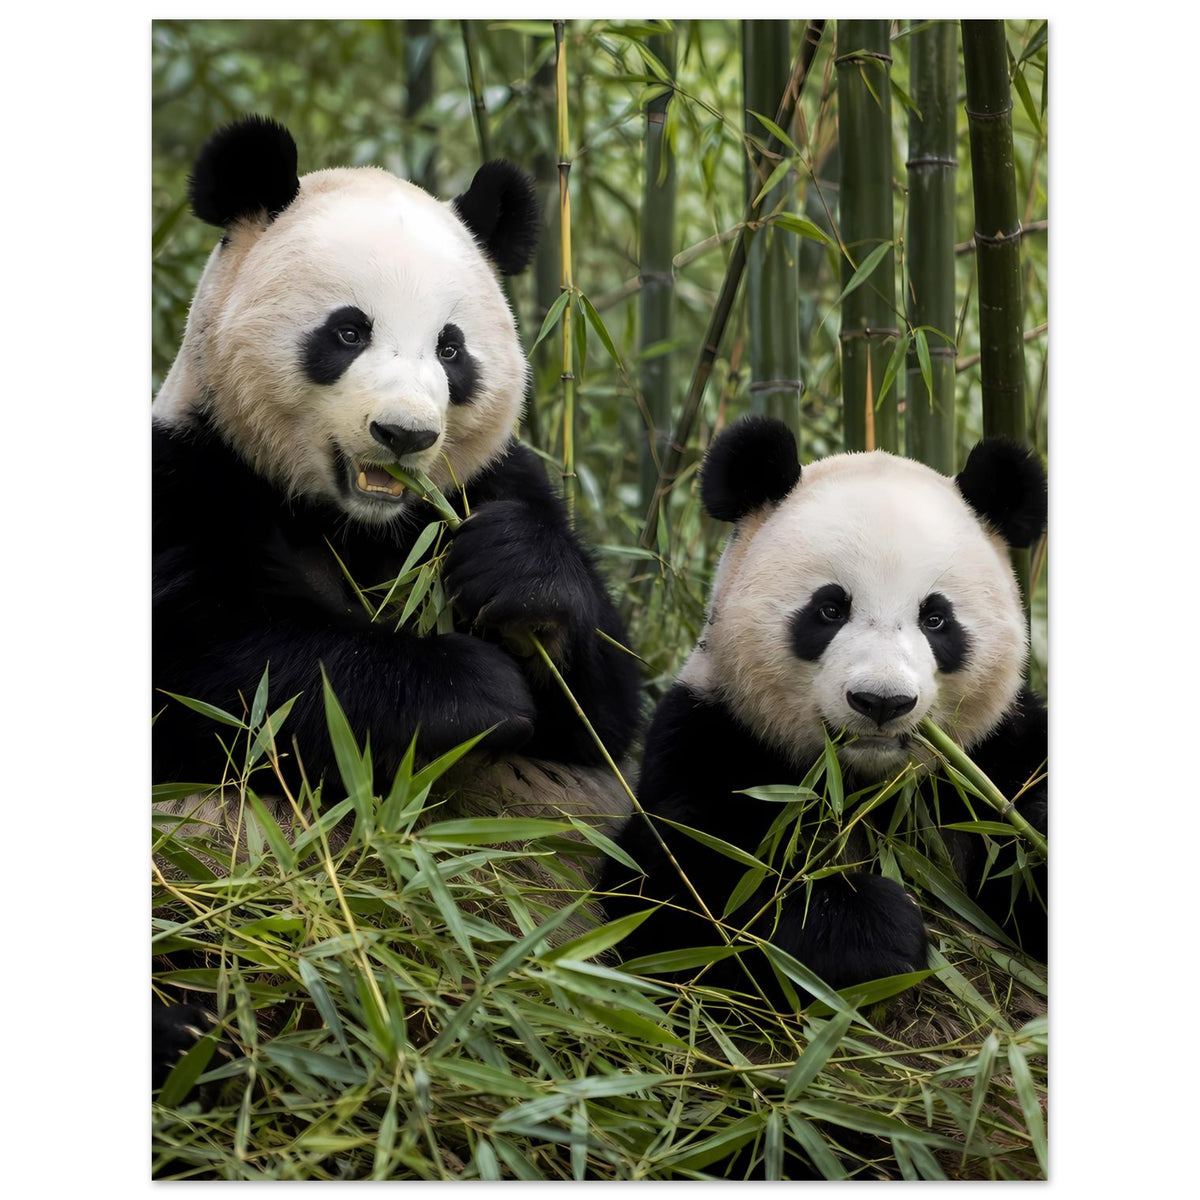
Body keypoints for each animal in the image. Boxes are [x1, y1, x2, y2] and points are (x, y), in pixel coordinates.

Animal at [152, 116, 641, 1087]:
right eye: (347, 331)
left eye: (452, 348)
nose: (405, 435)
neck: (356, 522)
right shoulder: (188, 480)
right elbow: (223, 677)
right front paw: (473, 690)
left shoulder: (493, 485)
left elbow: (604, 713)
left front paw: (520, 584)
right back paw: (193, 1036)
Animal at [601, 415, 1047, 1007]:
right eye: (830, 609)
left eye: (936, 619)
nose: (882, 701)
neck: (862, 787)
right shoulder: (713, 736)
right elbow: (685, 890)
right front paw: (871, 929)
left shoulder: (994, 754)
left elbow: (1019, 860)